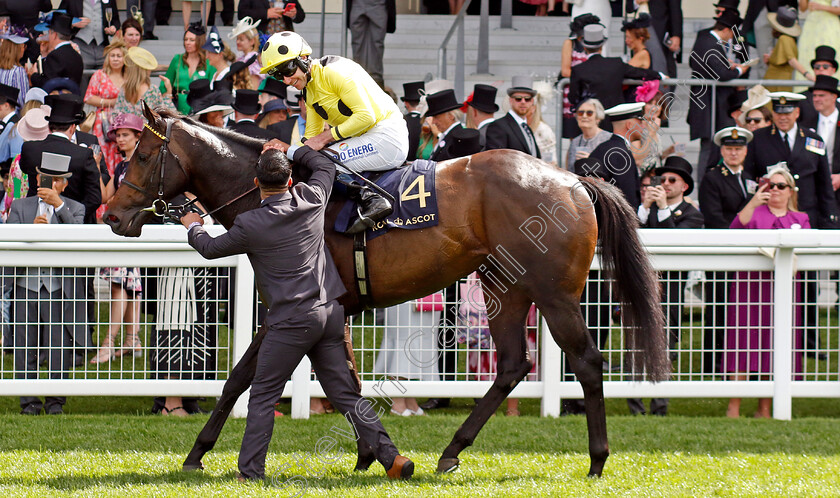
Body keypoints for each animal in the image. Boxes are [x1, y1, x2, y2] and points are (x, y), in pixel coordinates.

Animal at [105, 104, 668, 478]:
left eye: (142, 154)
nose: (112, 216)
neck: (278, 191)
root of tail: (572, 180)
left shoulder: (290, 307)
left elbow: (239, 377)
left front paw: (197, 453)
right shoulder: (338, 308)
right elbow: (348, 379)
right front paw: (369, 455)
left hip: (553, 293)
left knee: (587, 361)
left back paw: (596, 461)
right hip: (503, 288)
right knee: (512, 365)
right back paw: (452, 451)